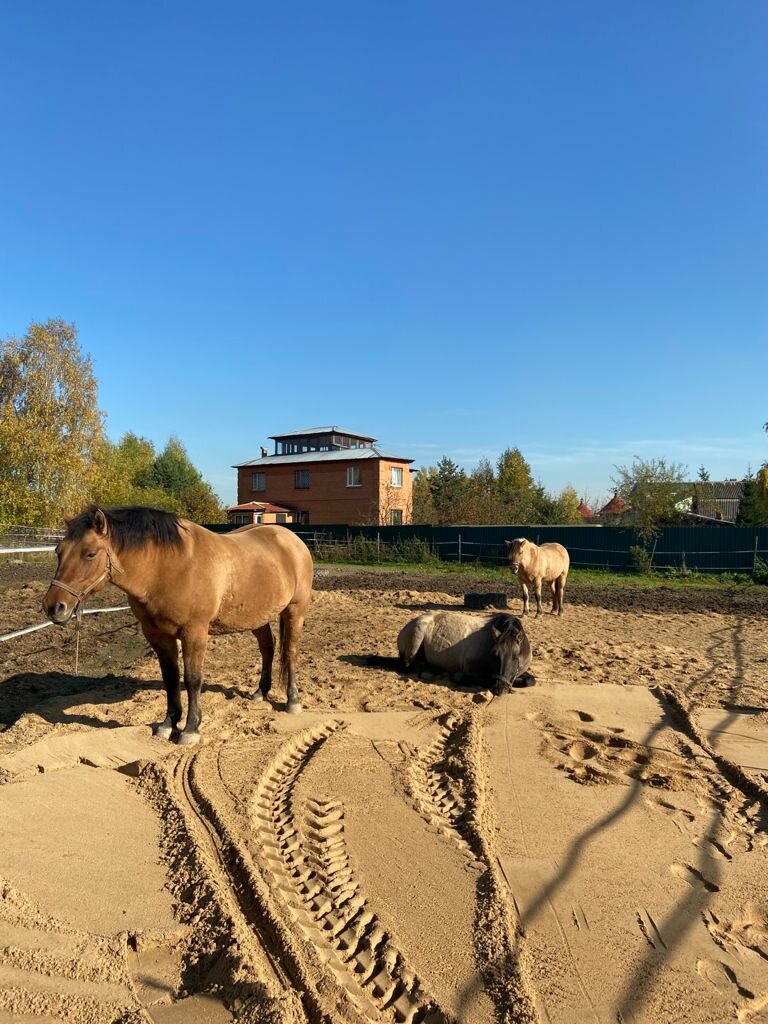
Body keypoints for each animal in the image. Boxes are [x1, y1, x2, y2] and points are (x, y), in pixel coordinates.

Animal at [43, 505, 313, 741]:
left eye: (90, 553)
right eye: (59, 551)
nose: (53, 607)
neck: (166, 568)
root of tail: (292, 540)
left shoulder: (195, 633)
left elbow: (192, 679)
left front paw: (191, 729)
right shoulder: (157, 635)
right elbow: (171, 677)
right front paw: (168, 724)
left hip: (295, 610)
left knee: (290, 651)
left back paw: (292, 701)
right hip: (257, 616)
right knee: (268, 647)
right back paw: (260, 692)